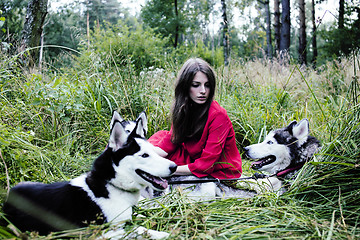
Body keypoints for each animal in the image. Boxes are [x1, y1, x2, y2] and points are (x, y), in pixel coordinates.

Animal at [2, 111, 177, 238]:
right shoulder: (101, 233)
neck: (111, 185)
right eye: (144, 155)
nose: (174, 167)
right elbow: (137, 229)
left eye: (153, 151)